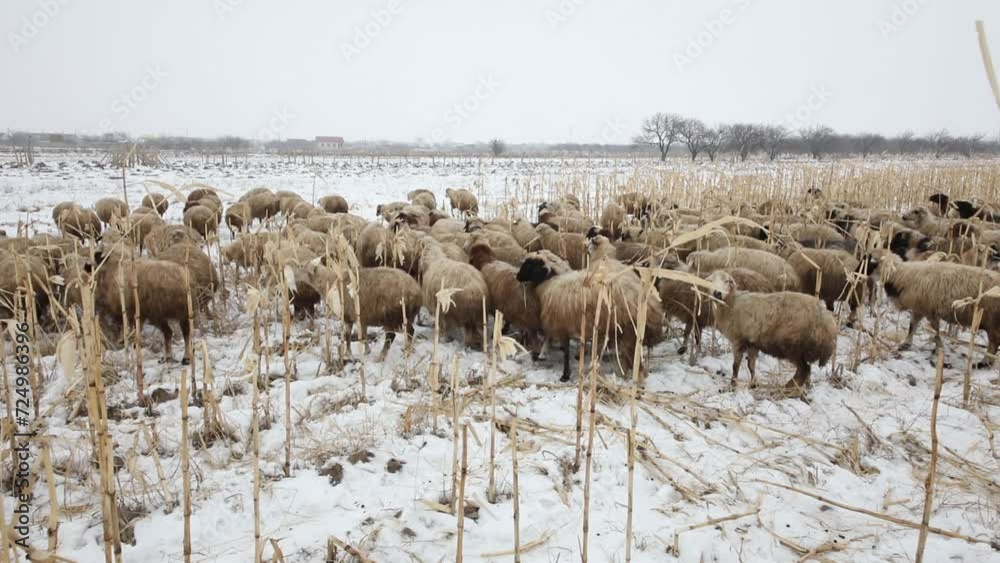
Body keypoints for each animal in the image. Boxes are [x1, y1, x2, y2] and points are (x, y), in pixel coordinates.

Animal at [516, 251, 663, 381]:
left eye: (529, 265)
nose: (517, 277)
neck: (550, 282)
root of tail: (652, 305)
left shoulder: (561, 323)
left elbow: (565, 350)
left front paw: (565, 375)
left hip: (628, 330)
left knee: (633, 356)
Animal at [708, 270, 838, 389]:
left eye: (727, 281)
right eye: (711, 281)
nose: (717, 293)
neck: (732, 303)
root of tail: (827, 321)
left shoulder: (738, 340)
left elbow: (735, 366)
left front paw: (733, 384)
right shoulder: (752, 343)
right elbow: (751, 365)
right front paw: (753, 383)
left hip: (794, 346)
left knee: (804, 369)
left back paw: (789, 386)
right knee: (806, 370)